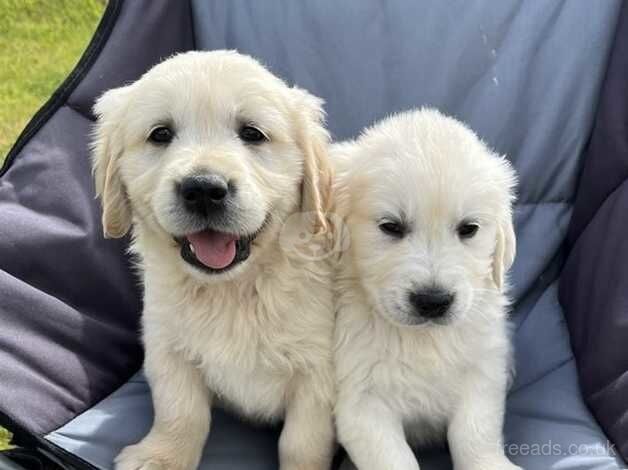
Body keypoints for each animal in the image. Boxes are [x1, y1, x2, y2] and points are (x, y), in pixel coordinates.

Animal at [91, 51, 336, 470]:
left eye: (252, 133)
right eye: (160, 134)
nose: (204, 189)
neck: (233, 289)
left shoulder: (320, 371)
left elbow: (303, 442)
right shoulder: (166, 343)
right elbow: (180, 411)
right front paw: (161, 457)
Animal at [334, 107, 520, 470]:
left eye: (469, 229)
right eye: (391, 227)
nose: (433, 301)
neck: (422, 339)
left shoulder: (482, 370)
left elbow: (474, 433)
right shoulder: (360, 399)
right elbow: (393, 459)